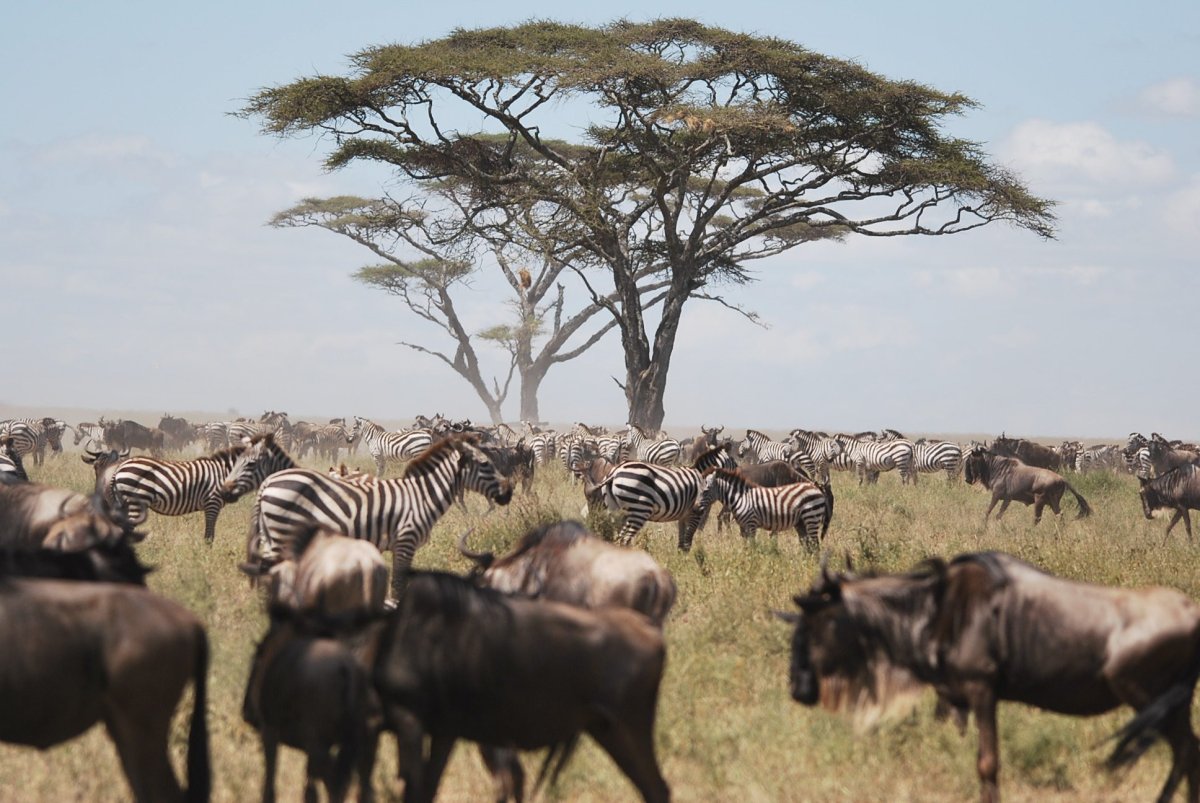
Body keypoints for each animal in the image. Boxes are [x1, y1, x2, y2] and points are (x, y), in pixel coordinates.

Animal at [108, 443, 264, 543]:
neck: (224, 473)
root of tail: (119, 468)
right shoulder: (212, 503)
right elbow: (209, 534)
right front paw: (206, 556)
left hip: (124, 503)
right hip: (136, 500)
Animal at [242, 435, 513, 599]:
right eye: (485, 464)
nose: (509, 492)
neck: (421, 496)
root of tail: (267, 483)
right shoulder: (405, 541)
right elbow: (398, 585)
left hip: (272, 535)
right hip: (283, 533)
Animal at [699, 469, 832, 548]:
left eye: (705, 491)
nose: (696, 507)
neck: (741, 498)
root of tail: (816, 489)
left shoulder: (751, 524)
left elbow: (752, 546)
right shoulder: (744, 526)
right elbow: (745, 546)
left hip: (811, 517)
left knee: (815, 545)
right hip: (801, 522)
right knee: (807, 544)